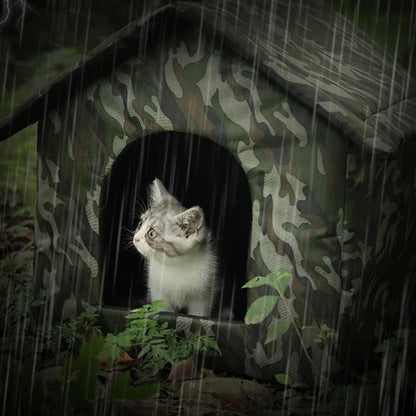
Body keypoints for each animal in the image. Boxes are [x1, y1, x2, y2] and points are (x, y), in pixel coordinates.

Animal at [132, 177, 218, 316]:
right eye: (140, 224)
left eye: (151, 233)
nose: (135, 238)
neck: (175, 264)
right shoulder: (159, 292)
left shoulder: (204, 294)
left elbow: (198, 314)